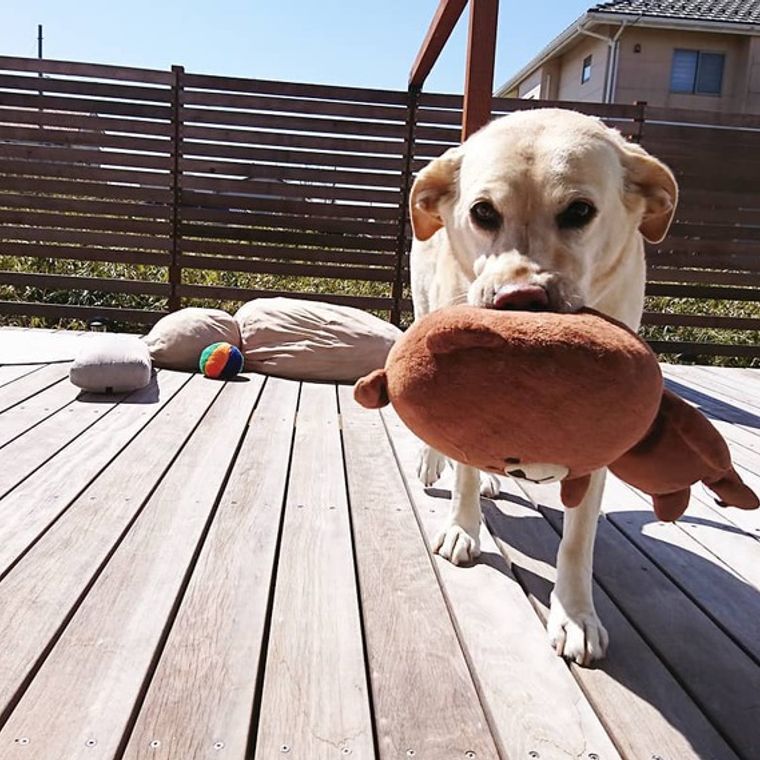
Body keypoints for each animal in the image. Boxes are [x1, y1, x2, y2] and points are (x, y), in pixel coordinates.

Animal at [410, 108, 676, 664]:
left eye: (579, 211)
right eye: (483, 212)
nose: (520, 298)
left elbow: (577, 541)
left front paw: (575, 616)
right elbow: (462, 470)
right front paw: (462, 527)